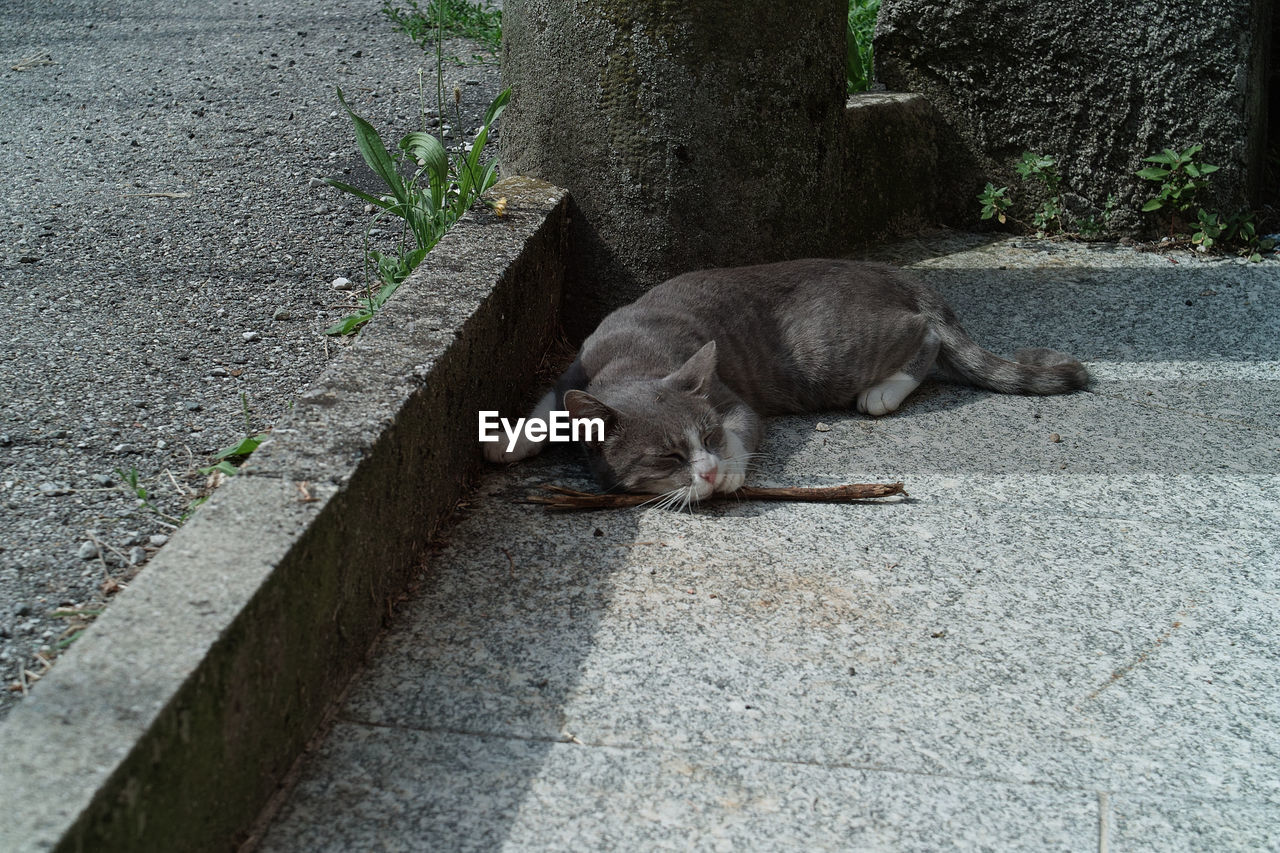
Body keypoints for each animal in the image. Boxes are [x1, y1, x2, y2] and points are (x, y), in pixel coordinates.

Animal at [483, 256, 1085, 502]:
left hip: (830, 351)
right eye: (669, 457)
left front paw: (727, 471)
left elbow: (743, 427)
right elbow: (547, 405)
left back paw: (884, 391)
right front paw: (507, 441)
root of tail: (887, 271)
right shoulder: (572, 369)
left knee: (927, 334)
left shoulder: (731, 401)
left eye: (708, 439)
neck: (634, 361)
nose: (706, 469)